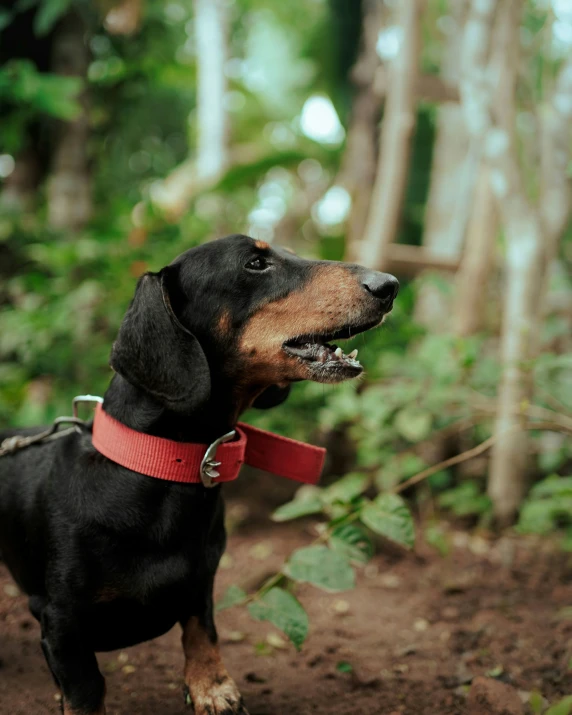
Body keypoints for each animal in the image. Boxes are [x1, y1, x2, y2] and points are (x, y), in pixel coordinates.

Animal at [0, 232, 398, 712]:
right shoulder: (60, 623)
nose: (390, 285)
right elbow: (86, 690)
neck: (159, 465)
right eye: (254, 263)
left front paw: (212, 685)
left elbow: (201, 630)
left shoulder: (201, 582)